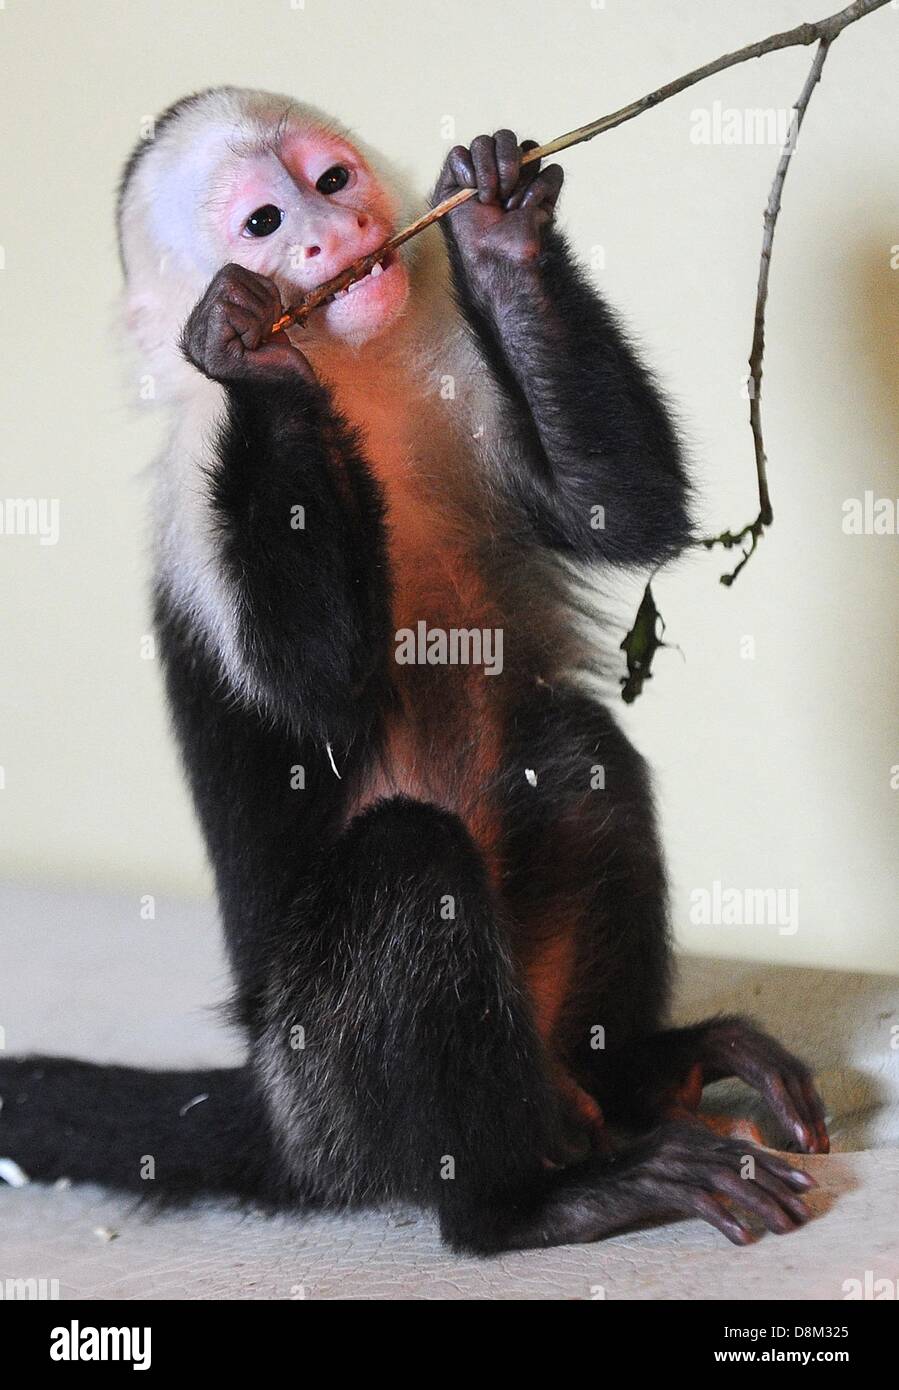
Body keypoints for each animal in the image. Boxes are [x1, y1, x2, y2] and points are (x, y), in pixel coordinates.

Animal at [1, 89, 828, 1262]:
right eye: (263, 223)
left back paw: (631, 1074)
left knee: (575, 754)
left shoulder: (464, 382)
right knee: (408, 862)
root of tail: (269, 1107)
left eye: (331, 180)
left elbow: (621, 513)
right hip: (320, 1086)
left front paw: (495, 232)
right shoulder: (196, 493)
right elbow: (319, 683)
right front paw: (250, 351)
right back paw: (516, 1204)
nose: (331, 234)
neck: (358, 377)